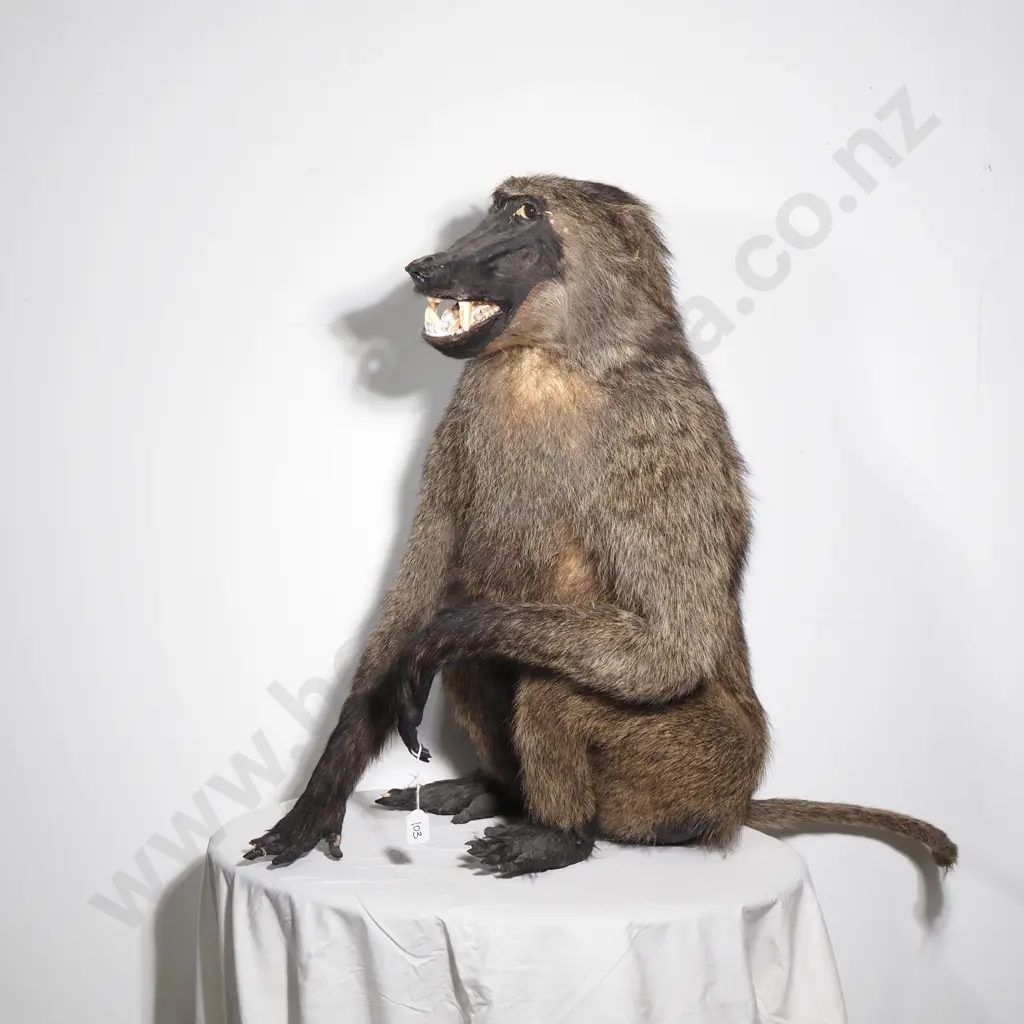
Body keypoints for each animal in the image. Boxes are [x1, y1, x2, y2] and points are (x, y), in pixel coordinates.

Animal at [244, 175, 958, 877]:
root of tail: (736, 807)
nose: (426, 266)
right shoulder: (458, 422)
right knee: (480, 667)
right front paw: (318, 800)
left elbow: (670, 646)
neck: (552, 358)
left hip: (698, 767)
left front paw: (443, 634)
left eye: (526, 213)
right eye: (495, 208)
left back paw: (559, 835)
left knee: (545, 686)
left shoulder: (662, 434)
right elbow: (409, 611)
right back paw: (498, 791)